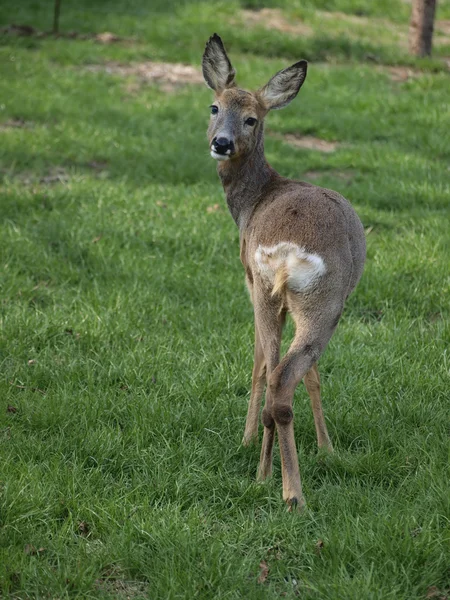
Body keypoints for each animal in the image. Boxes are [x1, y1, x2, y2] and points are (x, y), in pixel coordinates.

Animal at [203, 34, 366, 510]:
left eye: (252, 118)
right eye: (214, 107)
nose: (222, 143)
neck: (254, 200)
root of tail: (288, 251)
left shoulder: (250, 281)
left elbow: (262, 361)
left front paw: (249, 443)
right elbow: (302, 373)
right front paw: (326, 448)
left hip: (278, 292)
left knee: (275, 371)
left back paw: (269, 479)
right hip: (319, 301)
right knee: (284, 376)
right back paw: (291, 491)